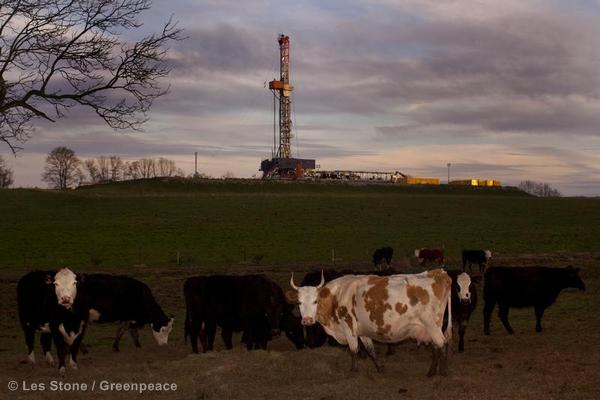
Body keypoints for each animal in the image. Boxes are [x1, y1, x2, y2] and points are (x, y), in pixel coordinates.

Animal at [286, 268, 450, 376]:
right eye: (299, 302)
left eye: (315, 301)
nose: (307, 320)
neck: (336, 296)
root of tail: (438, 272)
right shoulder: (362, 330)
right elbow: (370, 350)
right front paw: (380, 368)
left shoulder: (349, 327)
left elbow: (354, 350)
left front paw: (353, 372)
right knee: (439, 345)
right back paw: (438, 371)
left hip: (431, 325)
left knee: (441, 344)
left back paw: (436, 373)